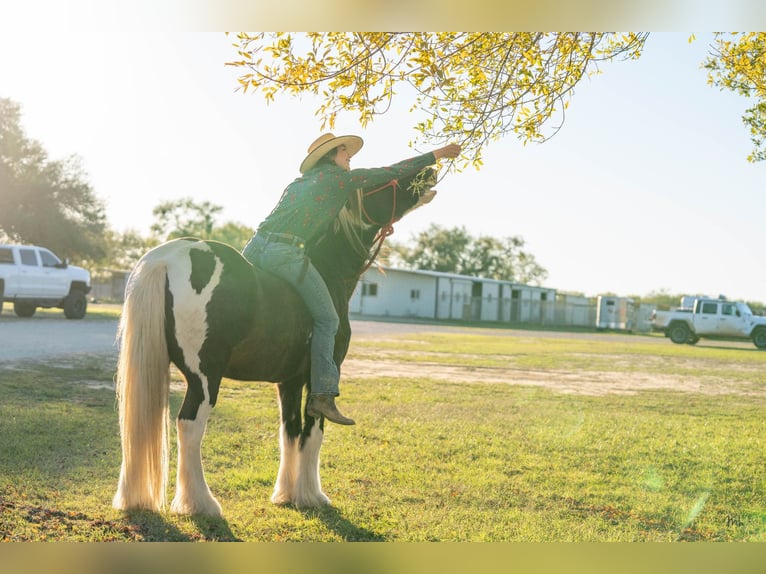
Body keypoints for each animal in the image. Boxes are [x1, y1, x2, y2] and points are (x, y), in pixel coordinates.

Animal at [113, 168, 438, 516]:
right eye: (383, 179)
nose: (429, 174)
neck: (328, 273)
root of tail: (169, 258)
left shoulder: (289, 382)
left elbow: (290, 432)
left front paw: (286, 494)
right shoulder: (317, 379)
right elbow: (313, 431)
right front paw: (312, 495)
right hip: (204, 378)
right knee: (189, 425)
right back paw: (201, 503)